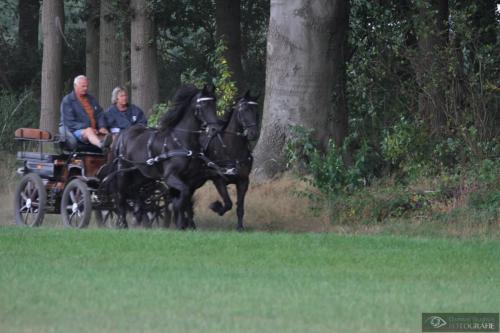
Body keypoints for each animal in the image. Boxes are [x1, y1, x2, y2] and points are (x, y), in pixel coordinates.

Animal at [111, 84, 221, 227]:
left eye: (214, 104)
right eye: (202, 106)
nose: (215, 129)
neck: (181, 141)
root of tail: (123, 133)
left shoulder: (189, 178)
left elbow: (186, 199)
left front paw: (185, 224)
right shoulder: (170, 176)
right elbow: (183, 195)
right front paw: (180, 219)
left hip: (142, 173)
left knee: (135, 189)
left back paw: (138, 215)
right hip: (123, 171)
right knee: (121, 195)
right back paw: (123, 222)